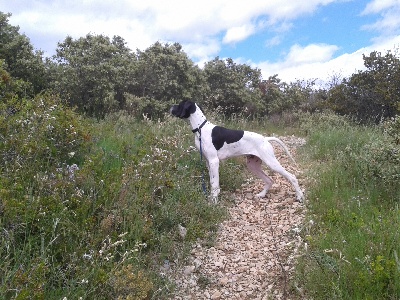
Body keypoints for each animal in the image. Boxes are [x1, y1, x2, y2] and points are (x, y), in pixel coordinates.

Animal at [169, 100, 304, 202]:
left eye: (180, 104)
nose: (170, 107)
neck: (201, 128)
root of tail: (265, 139)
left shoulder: (214, 162)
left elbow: (215, 185)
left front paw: (213, 201)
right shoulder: (208, 163)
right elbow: (212, 182)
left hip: (271, 163)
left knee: (292, 177)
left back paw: (300, 196)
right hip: (253, 166)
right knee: (269, 180)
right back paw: (262, 195)